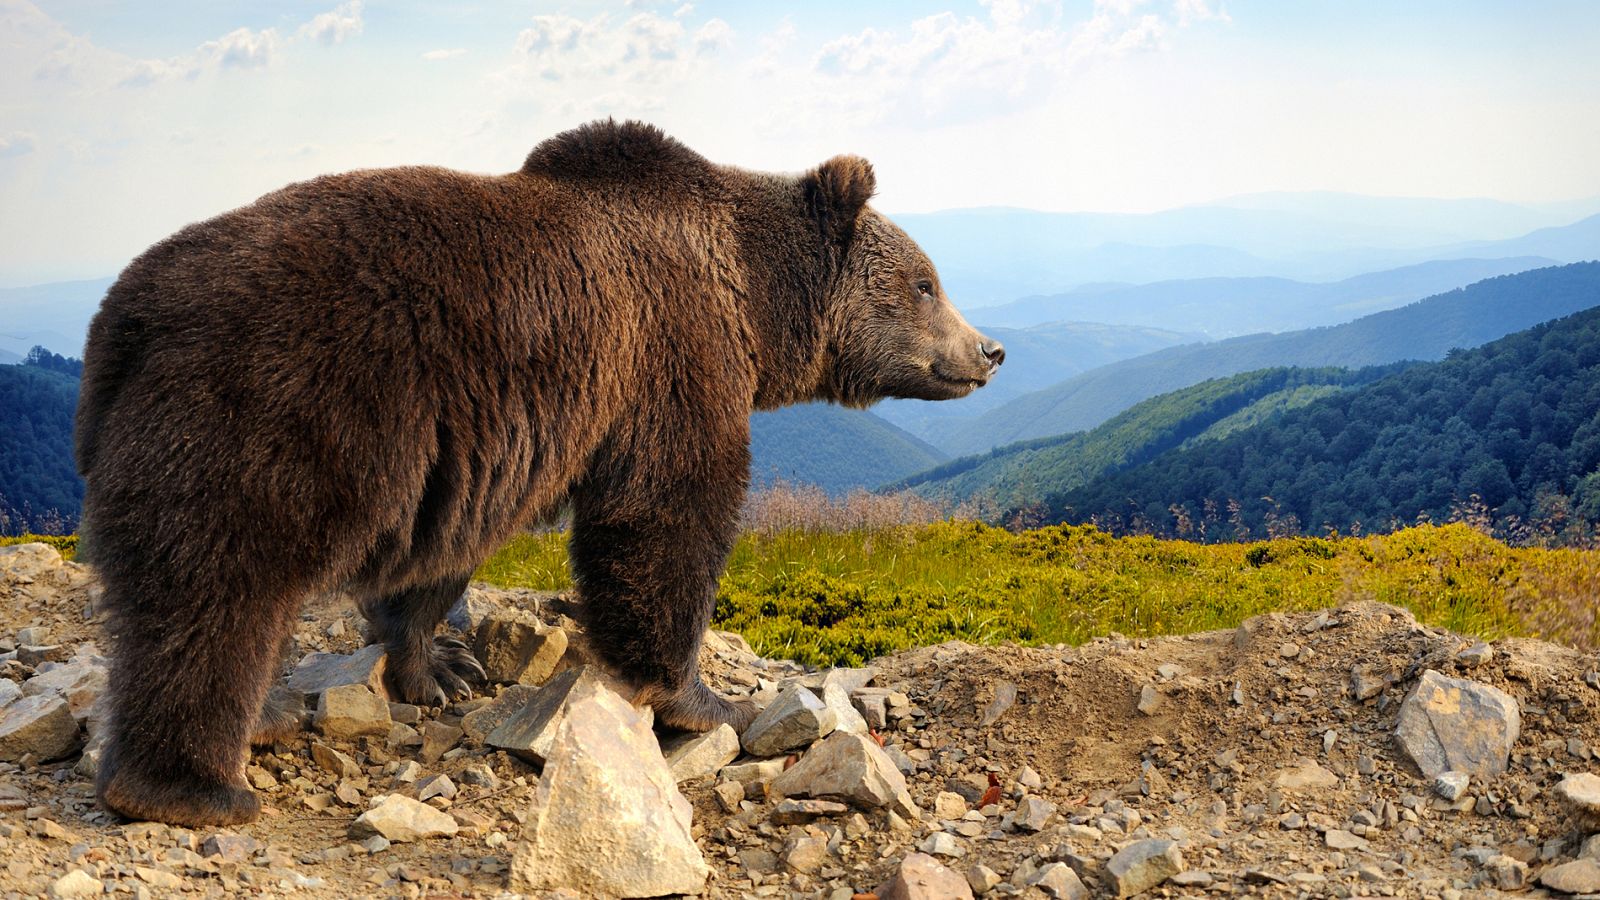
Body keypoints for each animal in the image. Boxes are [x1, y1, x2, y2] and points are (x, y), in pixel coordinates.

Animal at [78, 119, 998, 826]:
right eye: (926, 282)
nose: (988, 350)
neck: (755, 300)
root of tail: (125, 317)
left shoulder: (476, 448)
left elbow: (441, 557)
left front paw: (439, 666)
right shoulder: (669, 356)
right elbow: (668, 517)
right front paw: (704, 699)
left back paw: (262, 715)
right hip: (272, 411)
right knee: (217, 593)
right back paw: (194, 784)